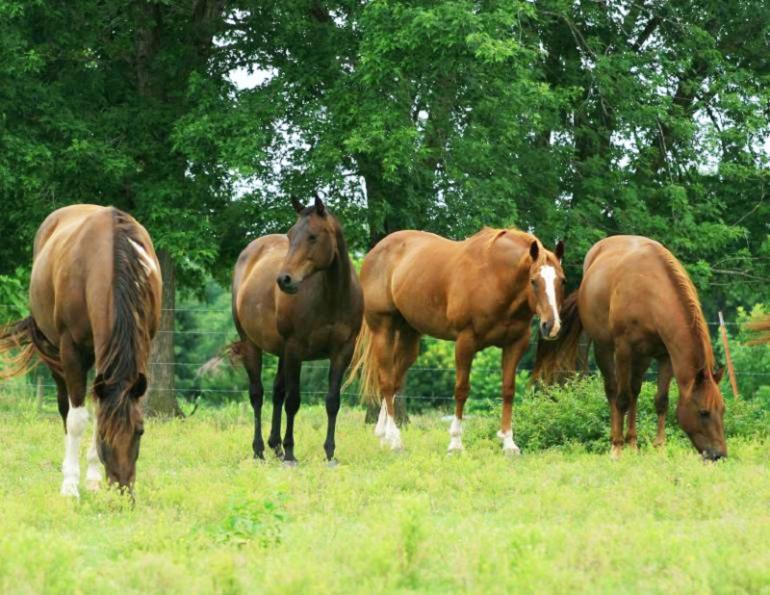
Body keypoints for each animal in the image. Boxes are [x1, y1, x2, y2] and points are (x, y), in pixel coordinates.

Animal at [0, 205, 161, 497]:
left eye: (140, 431)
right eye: (104, 438)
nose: (123, 492)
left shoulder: (141, 346)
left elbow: (99, 410)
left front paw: (94, 479)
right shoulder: (71, 351)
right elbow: (76, 420)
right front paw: (70, 485)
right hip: (54, 353)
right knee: (65, 409)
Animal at [231, 196, 363, 465]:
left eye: (312, 236)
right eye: (291, 236)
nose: (285, 280)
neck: (333, 297)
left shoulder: (342, 352)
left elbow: (332, 401)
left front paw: (329, 453)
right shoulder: (296, 348)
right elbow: (293, 401)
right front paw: (291, 452)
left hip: (282, 352)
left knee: (277, 392)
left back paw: (275, 446)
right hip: (252, 344)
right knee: (257, 394)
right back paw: (259, 449)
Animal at [347, 227, 565, 453]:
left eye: (562, 281)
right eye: (534, 281)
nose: (552, 326)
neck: (495, 278)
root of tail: (376, 251)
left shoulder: (516, 344)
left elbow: (508, 390)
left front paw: (508, 444)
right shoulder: (465, 342)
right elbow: (461, 390)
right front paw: (455, 444)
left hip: (409, 336)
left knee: (394, 383)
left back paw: (384, 437)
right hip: (384, 330)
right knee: (387, 382)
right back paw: (394, 438)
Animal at [533, 235, 727, 460]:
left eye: (722, 410)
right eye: (703, 412)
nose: (719, 454)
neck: (651, 293)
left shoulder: (665, 356)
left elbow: (661, 401)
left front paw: (659, 447)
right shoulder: (624, 350)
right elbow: (622, 399)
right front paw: (617, 448)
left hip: (642, 357)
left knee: (635, 390)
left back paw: (633, 443)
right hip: (605, 348)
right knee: (613, 390)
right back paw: (616, 441)